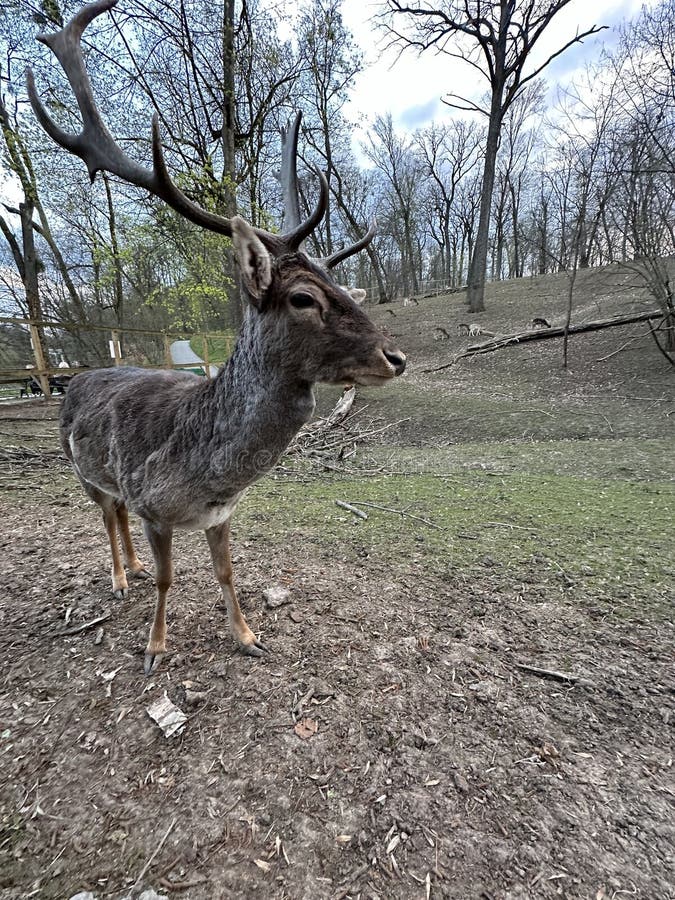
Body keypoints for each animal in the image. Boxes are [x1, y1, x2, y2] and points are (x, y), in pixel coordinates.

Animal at [27, 0, 406, 672]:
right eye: (302, 297)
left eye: (341, 284)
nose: (396, 355)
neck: (207, 471)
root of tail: (77, 377)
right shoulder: (155, 508)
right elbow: (168, 578)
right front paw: (154, 648)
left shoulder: (220, 513)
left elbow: (228, 574)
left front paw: (248, 637)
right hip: (80, 472)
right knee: (106, 517)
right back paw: (119, 577)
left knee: (114, 513)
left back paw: (126, 573)